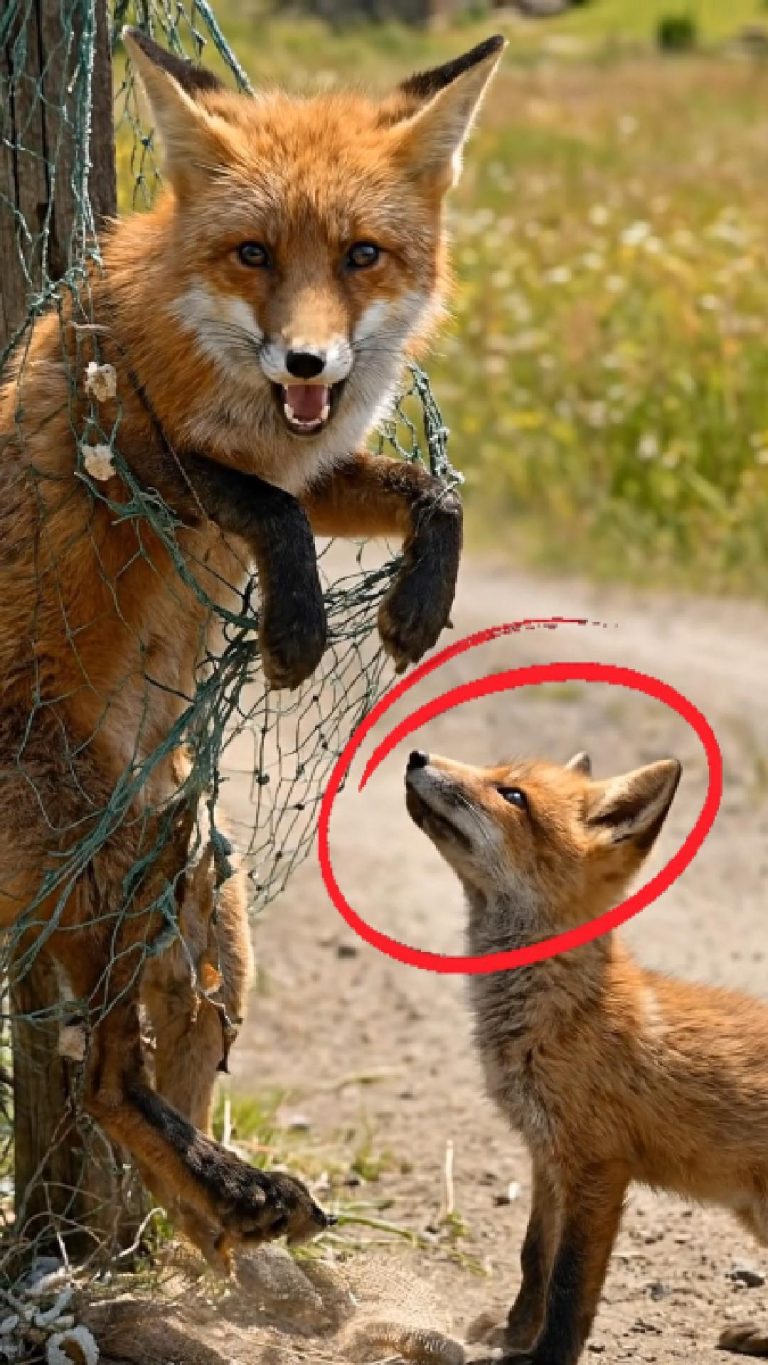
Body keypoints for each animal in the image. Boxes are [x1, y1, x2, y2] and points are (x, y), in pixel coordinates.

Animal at [0, 32, 505, 1266]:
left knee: (134, 1070)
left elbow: (433, 493)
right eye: (254, 253)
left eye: (363, 255)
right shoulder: (116, 450)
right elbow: (255, 507)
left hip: (198, 904)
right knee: (101, 1076)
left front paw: (415, 606)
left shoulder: (313, 462)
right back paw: (218, 1195)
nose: (308, 362)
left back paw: (218, 1201)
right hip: (96, 872)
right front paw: (297, 628)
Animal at [405, 745, 768, 1363]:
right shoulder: (546, 1157)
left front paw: (543, 1356)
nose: (415, 755)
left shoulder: (597, 1167)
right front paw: (513, 1334)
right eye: (498, 774)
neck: (561, 1013)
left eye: (513, 795)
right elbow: (535, 1260)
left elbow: (570, 1281)